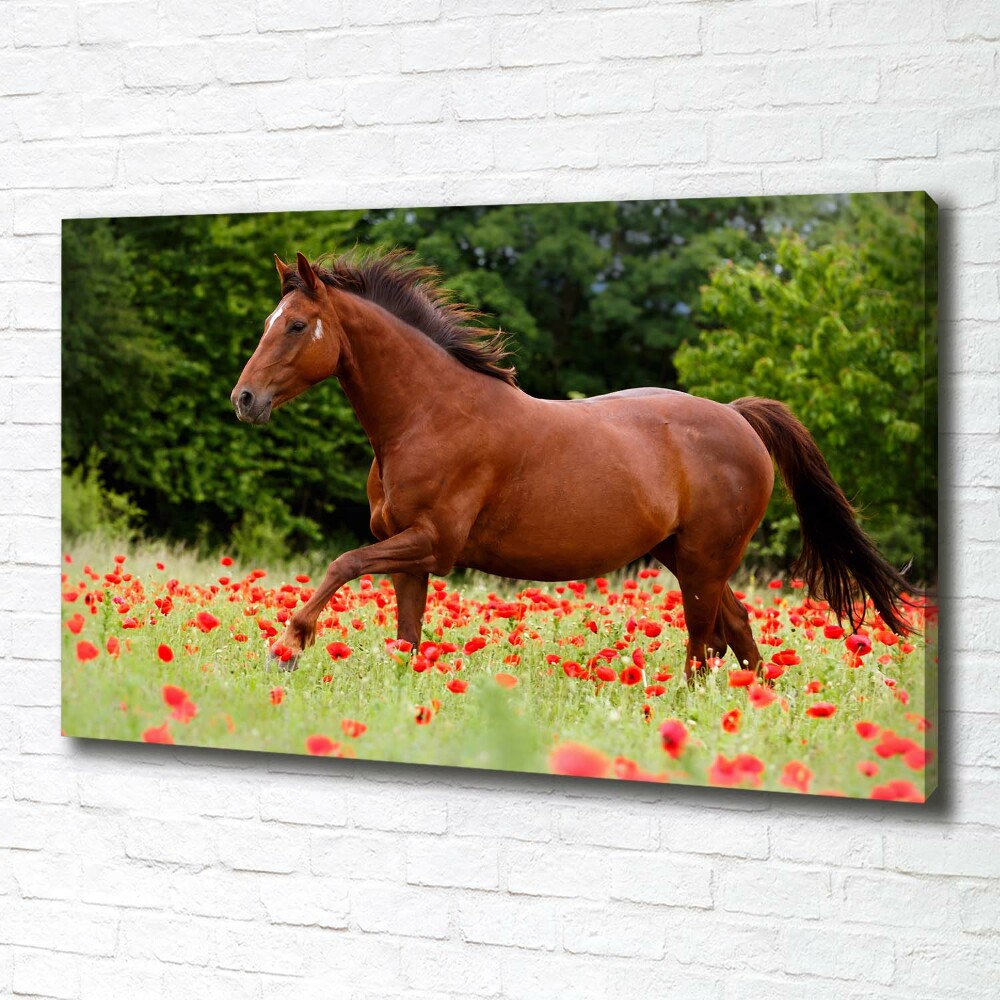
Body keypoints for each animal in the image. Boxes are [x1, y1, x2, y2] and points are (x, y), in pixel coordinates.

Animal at [232, 254, 916, 684]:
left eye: (296, 325)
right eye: (267, 323)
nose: (244, 399)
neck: (430, 414)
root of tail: (738, 417)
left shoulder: (432, 544)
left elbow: (341, 564)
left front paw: (287, 648)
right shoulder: (408, 555)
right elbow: (407, 635)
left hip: (703, 560)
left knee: (703, 645)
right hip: (688, 557)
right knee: (738, 631)